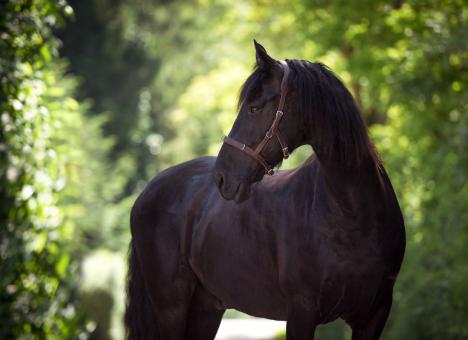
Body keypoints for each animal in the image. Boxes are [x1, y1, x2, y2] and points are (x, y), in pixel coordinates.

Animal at [125, 41, 406, 338]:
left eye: (254, 108)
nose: (221, 177)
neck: (353, 215)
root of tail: (147, 191)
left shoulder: (374, 315)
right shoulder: (301, 311)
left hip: (206, 308)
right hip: (172, 309)